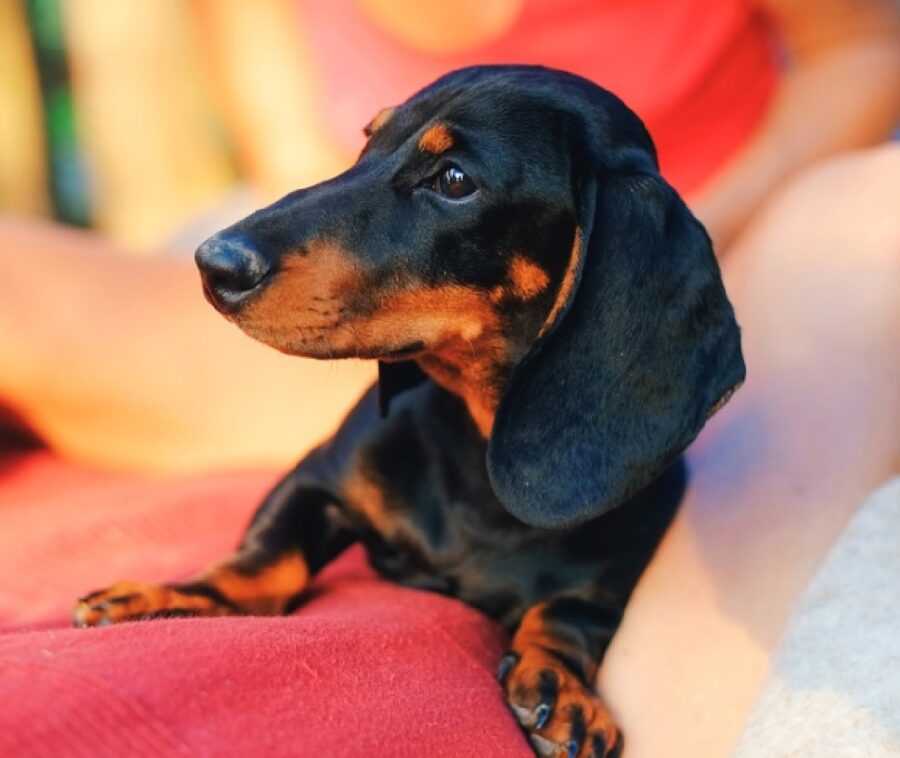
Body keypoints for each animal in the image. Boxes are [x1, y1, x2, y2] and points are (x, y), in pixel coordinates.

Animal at [72, 67, 744, 758]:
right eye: (368, 139)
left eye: (454, 179)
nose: (214, 263)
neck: (477, 464)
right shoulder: (318, 476)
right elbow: (267, 555)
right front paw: (176, 594)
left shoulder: (615, 572)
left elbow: (568, 613)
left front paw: (560, 684)